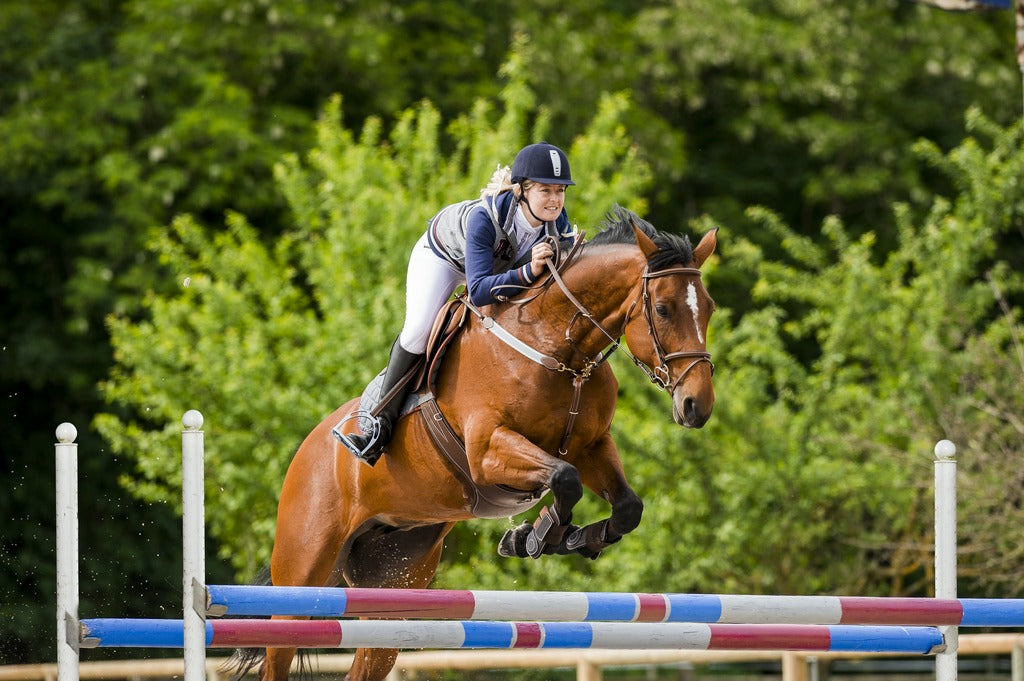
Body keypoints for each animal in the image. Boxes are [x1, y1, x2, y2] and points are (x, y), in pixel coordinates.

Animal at [239, 205, 720, 679]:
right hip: (302, 575)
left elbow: (626, 506)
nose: (697, 406)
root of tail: (308, 449)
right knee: (280, 649)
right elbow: (564, 480)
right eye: (663, 309)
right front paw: (536, 536)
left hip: (393, 588)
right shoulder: (489, 451)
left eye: (710, 308)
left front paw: (577, 539)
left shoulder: (592, 446)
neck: (559, 348)